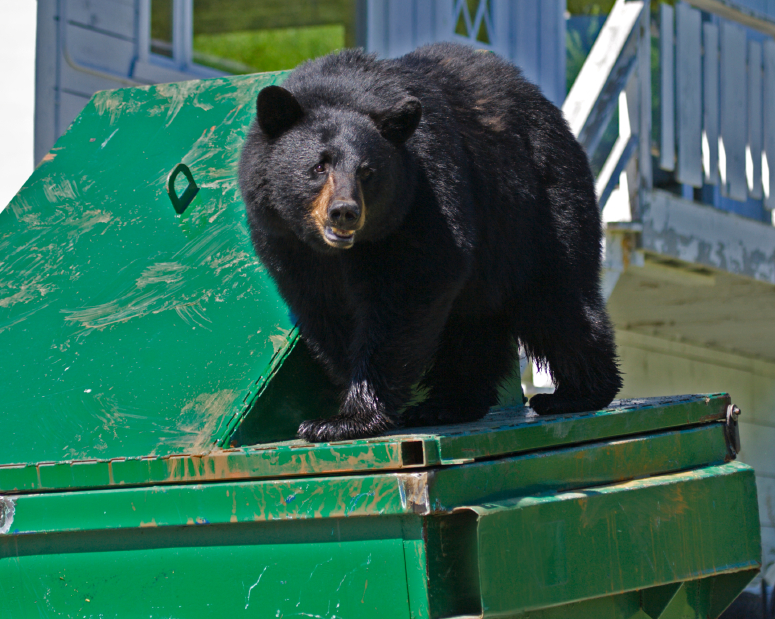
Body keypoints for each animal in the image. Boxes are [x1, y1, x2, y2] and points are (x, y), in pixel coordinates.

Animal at [239, 42, 622, 443]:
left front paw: (346, 419)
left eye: (367, 171)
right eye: (319, 166)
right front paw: (349, 392)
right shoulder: (287, 242)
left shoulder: (423, 195)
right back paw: (451, 404)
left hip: (540, 209)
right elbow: (325, 309)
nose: (344, 212)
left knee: (557, 300)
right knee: (474, 325)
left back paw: (575, 394)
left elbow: (410, 288)